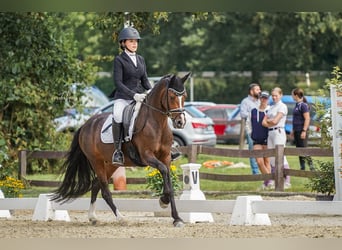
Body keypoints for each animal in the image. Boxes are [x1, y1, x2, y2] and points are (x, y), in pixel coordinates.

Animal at [51, 72, 191, 227]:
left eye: (184, 96)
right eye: (172, 97)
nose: (180, 122)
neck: (156, 124)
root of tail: (86, 124)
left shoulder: (166, 157)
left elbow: (170, 184)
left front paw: (177, 218)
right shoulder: (147, 156)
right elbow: (164, 171)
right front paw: (163, 201)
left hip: (111, 164)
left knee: (96, 184)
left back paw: (92, 217)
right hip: (96, 161)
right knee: (105, 190)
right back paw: (121, 217)